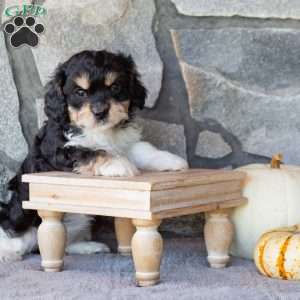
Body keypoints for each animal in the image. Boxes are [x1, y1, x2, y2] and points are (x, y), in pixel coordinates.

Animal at [0, 50, 188, 262]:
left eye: (115, 87)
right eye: (80, 93)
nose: (100, 111)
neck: (101, 132)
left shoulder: (124, 143)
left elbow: (143, 148)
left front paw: (170, 160)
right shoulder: (60, 151)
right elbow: (92, 151)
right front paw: (119, 165)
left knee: (65, 242)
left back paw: (89, 247)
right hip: (21, 216)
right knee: (18, 236)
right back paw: (9, 251)